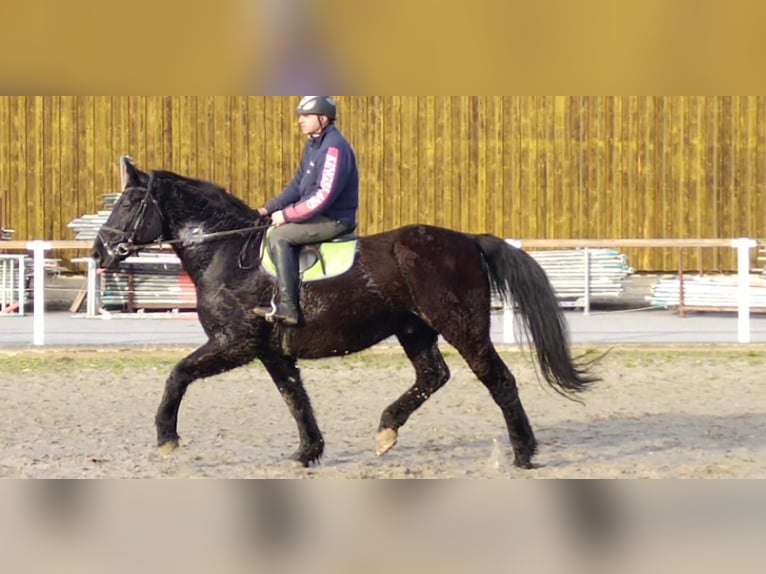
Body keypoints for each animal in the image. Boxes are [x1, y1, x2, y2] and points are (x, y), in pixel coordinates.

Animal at [94, 160, 600, 470]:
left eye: (129, 203)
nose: (99, 251)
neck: (228, 254)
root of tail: (469, 240)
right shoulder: (271, 352)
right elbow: (295, 398)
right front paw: (307, 452)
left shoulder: (233, 343)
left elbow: (177, 375)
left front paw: (166, 438)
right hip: (415, 329)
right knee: (432, 376)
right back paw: (387, 430)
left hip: (462, 327)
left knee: (498, 380)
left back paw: (523, 452)